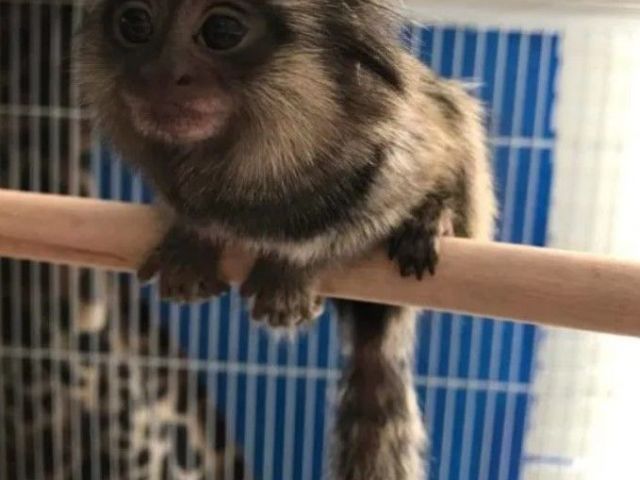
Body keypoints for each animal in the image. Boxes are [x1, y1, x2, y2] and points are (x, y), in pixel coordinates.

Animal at [76, 1, 496, 479]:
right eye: (134, 24)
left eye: (222, 31)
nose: (159, 73)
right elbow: (190, 217)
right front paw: (192, 243)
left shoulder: (401, 153)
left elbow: (364, 218)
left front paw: (292, 270)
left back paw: (430, 222)